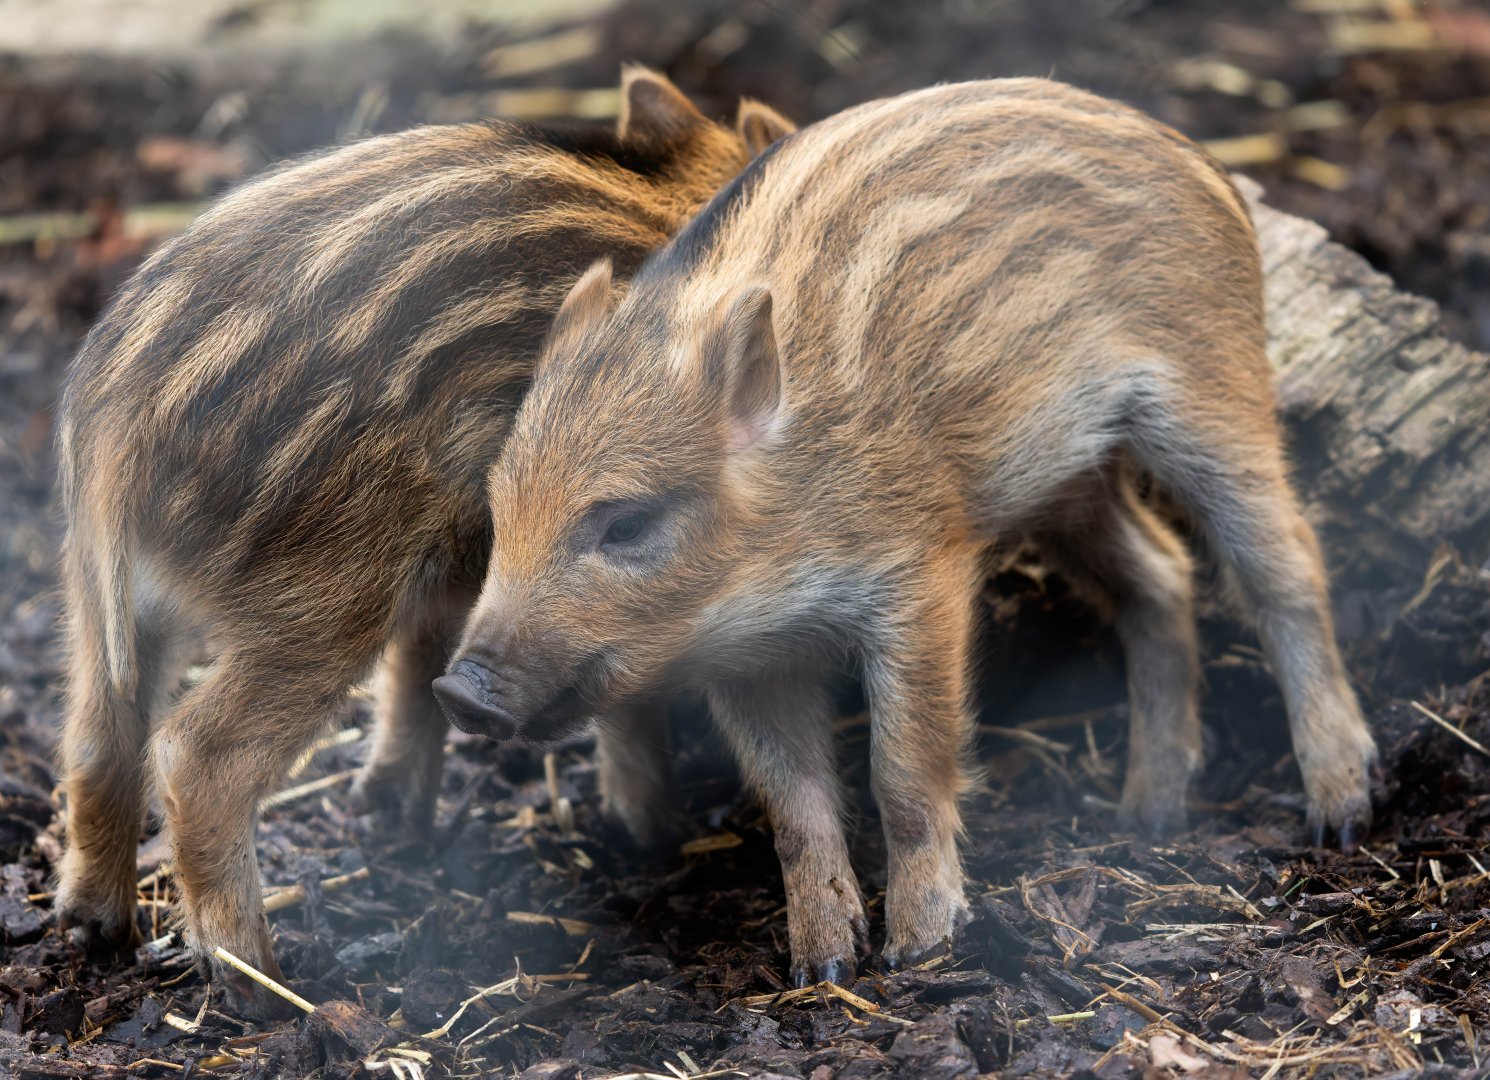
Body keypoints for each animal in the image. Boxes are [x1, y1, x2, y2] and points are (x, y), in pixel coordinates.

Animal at [53, 66, 793, 1017]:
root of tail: (116, 421)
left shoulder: (471, 557)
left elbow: (427, 661)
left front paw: (394, 809)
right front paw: (654, 828)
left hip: (100, 595)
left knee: (96, 735)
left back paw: (92, 925)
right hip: (325, 590)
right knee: (197, 754)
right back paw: (258, 978)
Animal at [436, 77, 1381, 987]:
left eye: (627, 522)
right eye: (502, 512)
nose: (461, 691)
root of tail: (1200, 163)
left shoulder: (919, 578)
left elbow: (903, 774)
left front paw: (921, 951)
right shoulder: (744, 657)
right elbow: (793, 807)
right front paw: (821, 966)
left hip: (1211, 391)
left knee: (1287, 566)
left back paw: (1340, 807)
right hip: (1068, 478)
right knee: (1160, 572)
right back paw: (1146, 812)